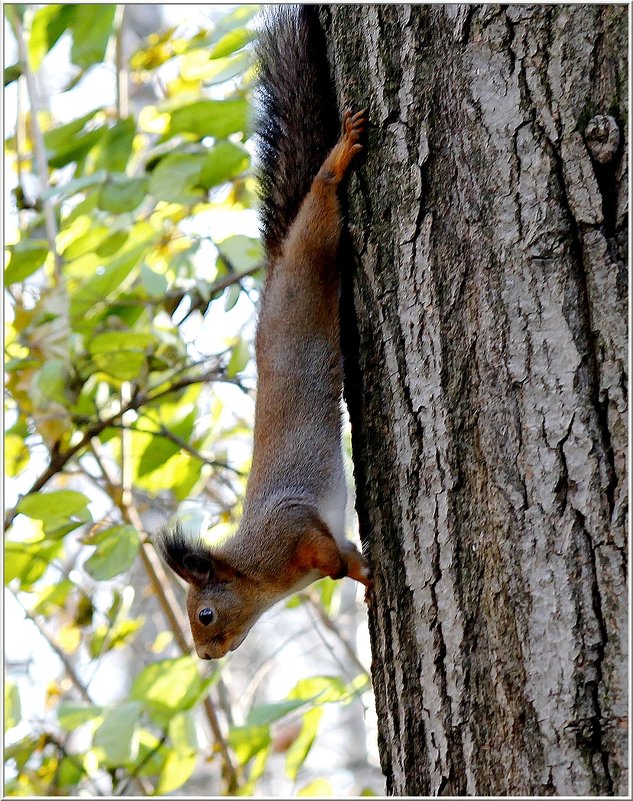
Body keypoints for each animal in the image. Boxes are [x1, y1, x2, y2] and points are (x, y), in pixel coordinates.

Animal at [154, 4, 370, 656]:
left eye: (203, 614)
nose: (205, 656)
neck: (256, 569)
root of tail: (273, 269)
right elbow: (347, 554)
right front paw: (365, 575)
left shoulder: (293, 529)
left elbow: (327, 553)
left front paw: (350, 573)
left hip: (312, 253)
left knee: (320, 202)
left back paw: (338, 156)